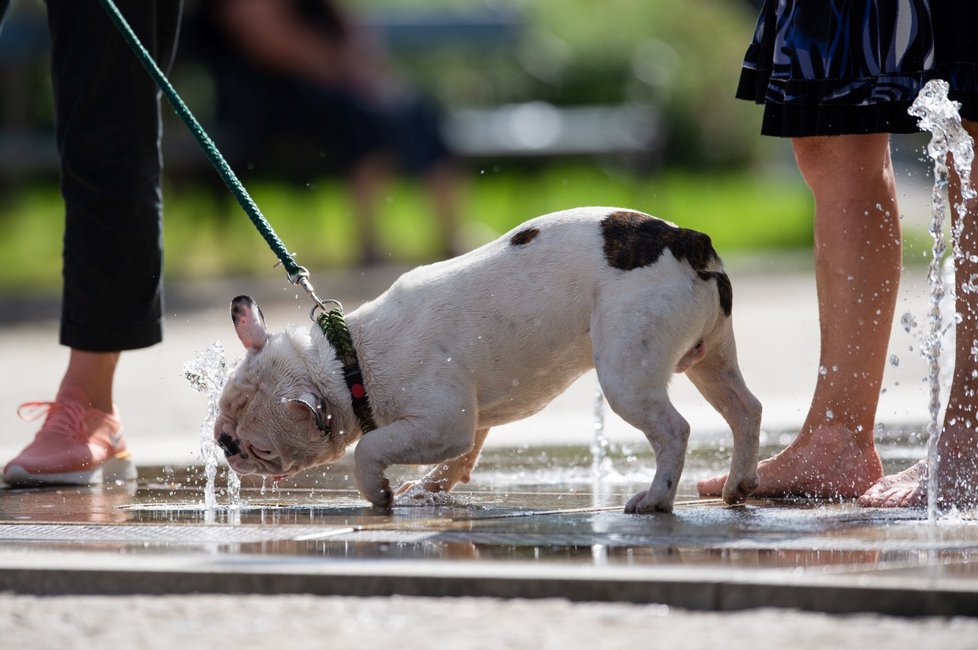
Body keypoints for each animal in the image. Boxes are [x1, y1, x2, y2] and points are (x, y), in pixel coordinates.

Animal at [215, 208, 764, 512]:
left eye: (260, 447)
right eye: (220, 417)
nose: (225, 445)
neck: (348, 359)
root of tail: (687, 240)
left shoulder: (441, 422)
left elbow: (370, 448)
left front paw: (380, 494)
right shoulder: (467, 421)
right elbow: (461, 456)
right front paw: (429, 488)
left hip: (627, 373)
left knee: (673, 430)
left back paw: (657, 498)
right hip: (712, 357)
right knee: (745, 409)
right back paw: (738, 483)